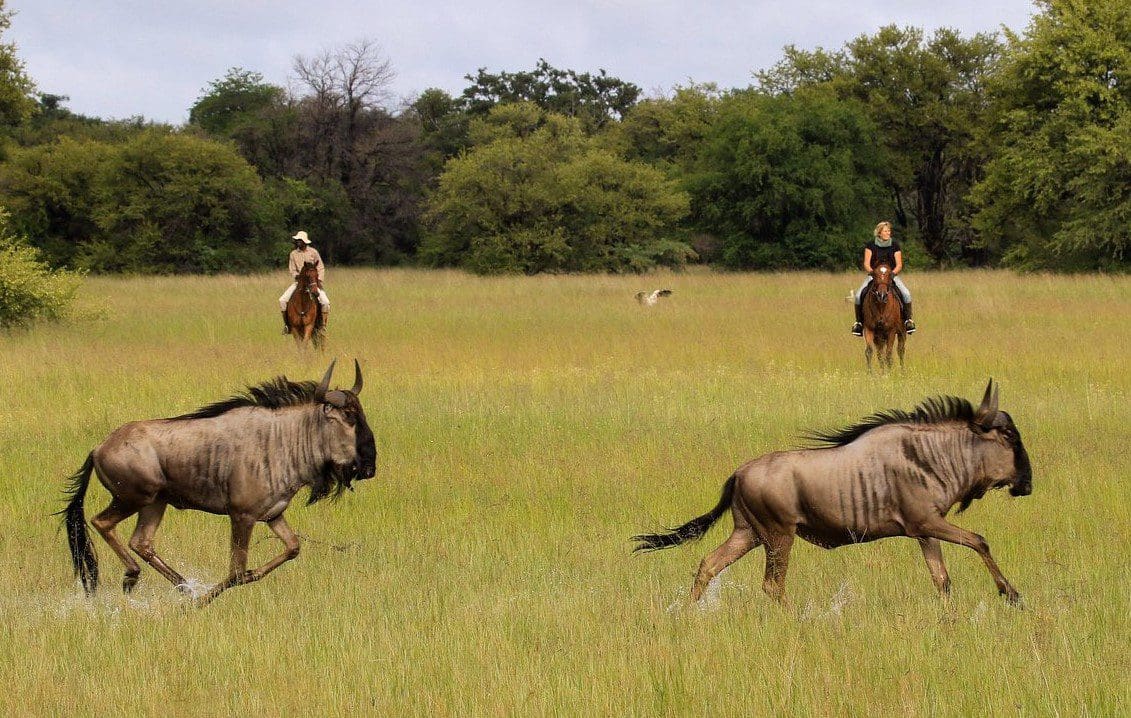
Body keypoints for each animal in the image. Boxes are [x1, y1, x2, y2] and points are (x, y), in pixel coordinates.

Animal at [637, 382, 1035, 606]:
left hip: (748, 534)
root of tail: (738, 472)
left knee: (708, 564)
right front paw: (1011, 594)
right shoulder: (926, 523)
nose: (1028, 484)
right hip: (778, 536)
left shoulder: (925, 531)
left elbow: (943, 580)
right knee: (772, 585)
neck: (930, 455)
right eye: (1010, 437)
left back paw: (689, 614)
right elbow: (979, 540)